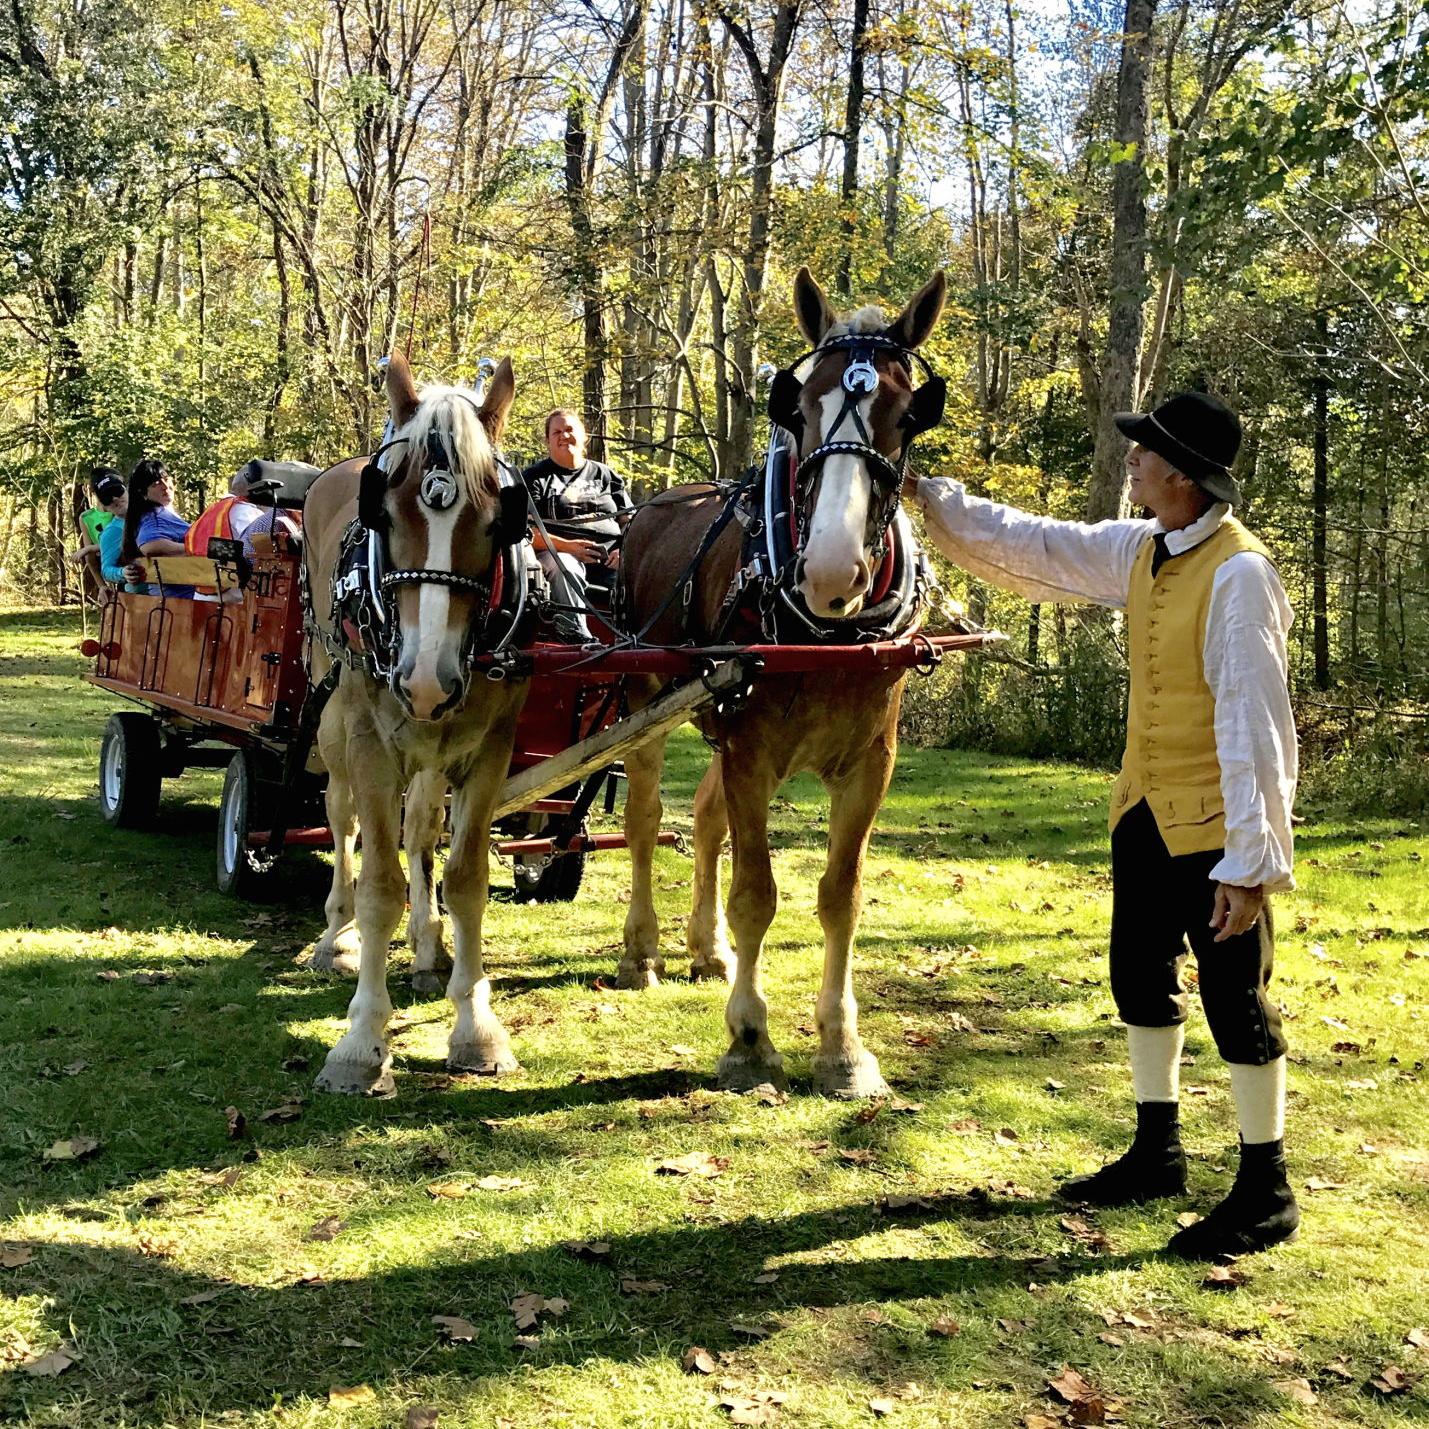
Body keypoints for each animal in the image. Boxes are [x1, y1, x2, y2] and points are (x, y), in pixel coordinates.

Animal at [302, 354, 531, 1091]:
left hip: (433, 744)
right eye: (388, 513)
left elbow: (465, 879)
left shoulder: (490, 747)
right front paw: (360, 1041)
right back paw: (336, 937)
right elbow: (378, 884)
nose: (426, 680)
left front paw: (475, 1025)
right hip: (335, 725)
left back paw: (429, 946)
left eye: (497, 521)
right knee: (341, 817)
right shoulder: (371, 744)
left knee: (421, 827)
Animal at [617, 265, 943, 1091]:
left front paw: (841, 1045)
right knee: (642, 817)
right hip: (648, 700)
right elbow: (756, 894)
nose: (831, 571)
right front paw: (748, 1036)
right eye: (797, 407)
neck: (828, 633)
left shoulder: (869, 763)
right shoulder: (751, 750)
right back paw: (642, 949)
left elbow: (840, 896)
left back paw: (704, 948)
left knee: (704, 820)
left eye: (907, 416)